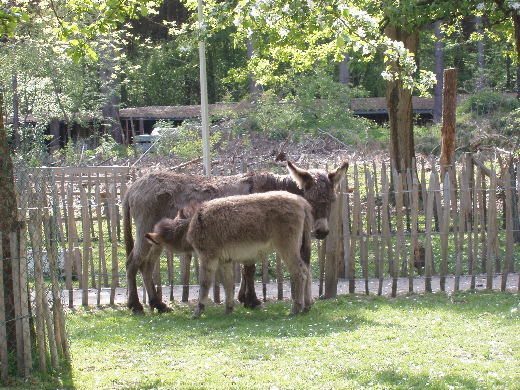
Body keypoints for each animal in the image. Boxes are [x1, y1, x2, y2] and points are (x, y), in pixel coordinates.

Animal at [144, 191, 312, 316]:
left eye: (159, 244)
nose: (149, 252)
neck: (190, 224)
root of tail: (302, 202)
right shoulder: (225, 261)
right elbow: (228, 283)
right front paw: (228, 309)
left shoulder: (208, 257)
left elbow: (205, 283)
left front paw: (198, 310)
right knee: (307, 270)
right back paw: (307, 306)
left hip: (286, 246)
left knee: (299, 272)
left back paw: (296, 308)